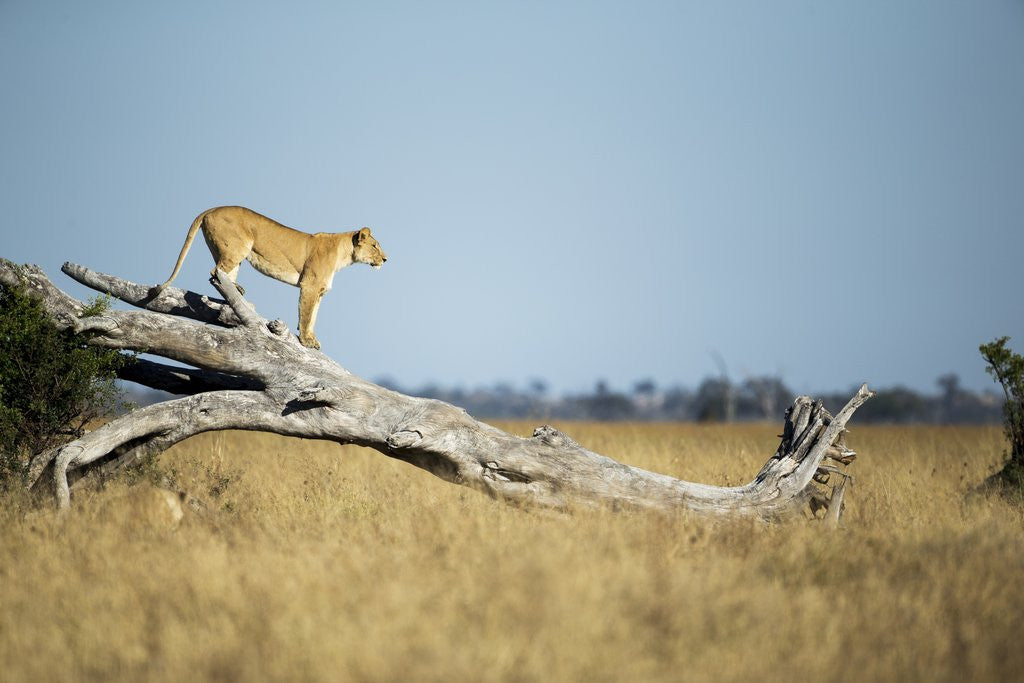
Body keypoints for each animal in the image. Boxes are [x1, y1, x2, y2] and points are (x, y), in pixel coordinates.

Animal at [151, 206, 387, 349]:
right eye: (375, 246)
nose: (386, 259)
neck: (344, 255)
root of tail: (212, 208)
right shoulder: (309, 286)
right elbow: (306, 315)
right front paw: (306, 341)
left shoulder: (319, 292)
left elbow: (313, 317)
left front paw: (312, 339)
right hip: (237, 247)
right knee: (214, 272)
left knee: (221, 273)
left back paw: (237, 291)